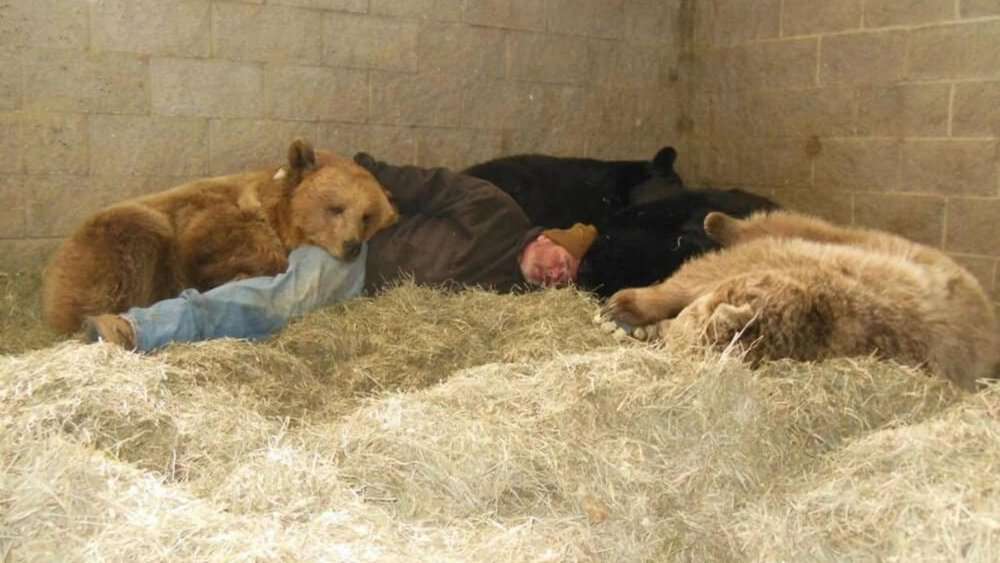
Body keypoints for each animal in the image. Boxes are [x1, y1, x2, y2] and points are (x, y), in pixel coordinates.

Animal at [41, 139, 399, 335]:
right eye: (336, 208)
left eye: (367, 216)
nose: (351, 246)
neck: (276, 215)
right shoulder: (209, 216)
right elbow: (221, 244)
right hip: (109, 241)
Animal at [607, 210, 999, 390]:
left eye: (683, 340)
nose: (664, 333)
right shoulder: (801, 259)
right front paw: (628, 306)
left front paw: (635, 319)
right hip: (866, 242)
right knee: (790, 224)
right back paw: (718, 221)